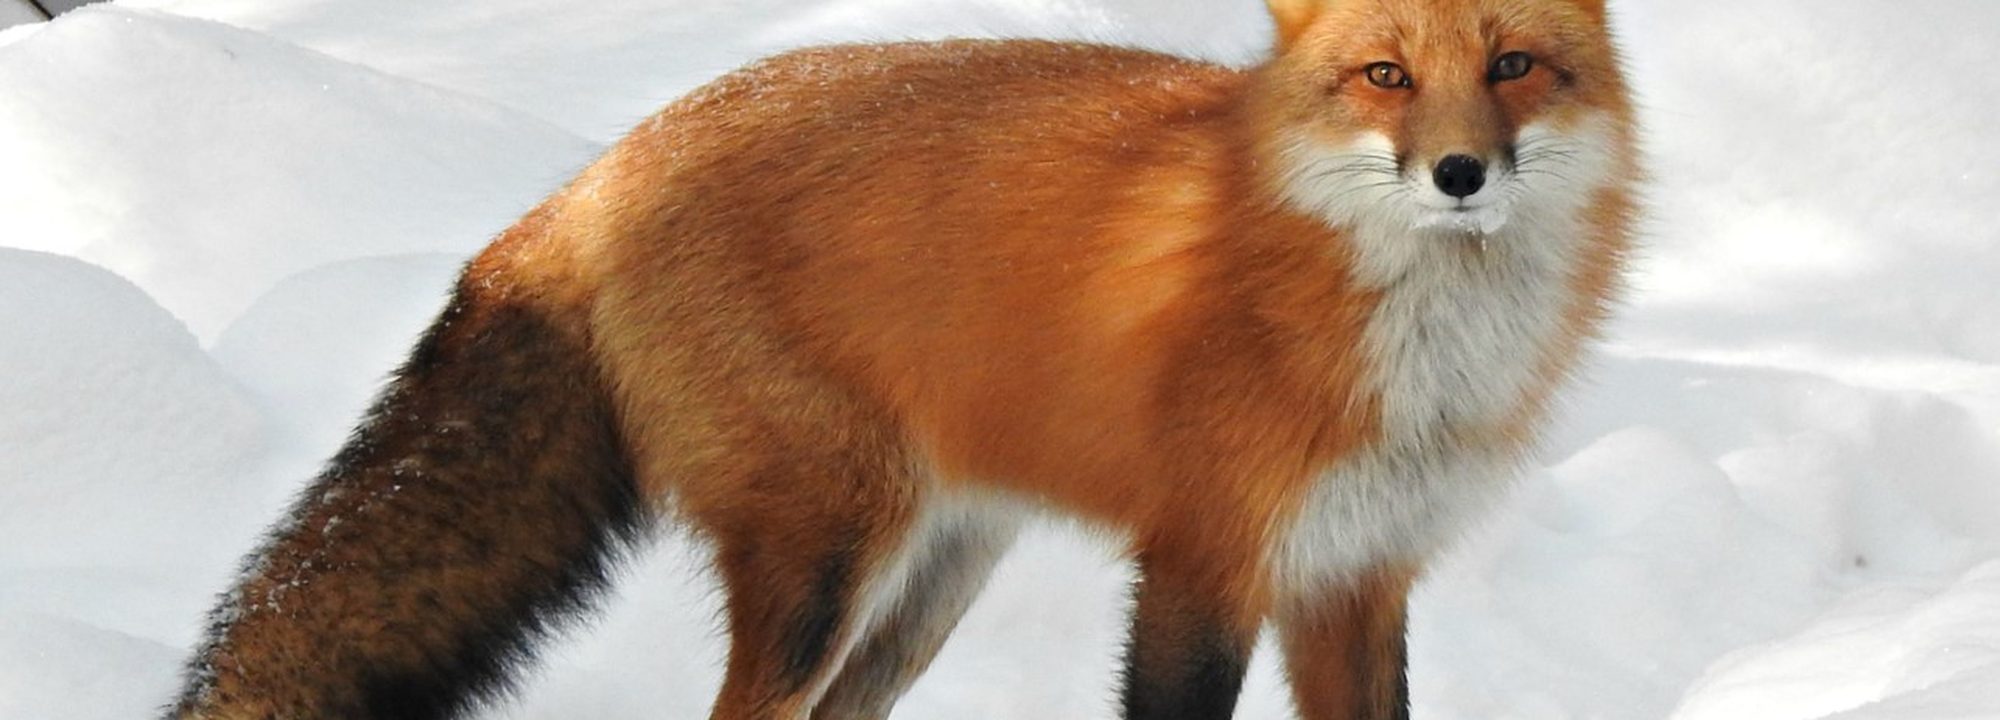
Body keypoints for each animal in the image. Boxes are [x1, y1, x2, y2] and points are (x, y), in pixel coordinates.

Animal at [168, 0, 1637, 718]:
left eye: (1515, 67)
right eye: (1385, 77)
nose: (1458, 176)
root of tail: (595, 175)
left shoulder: (1355, 579)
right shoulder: (1201, 564)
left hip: (927, 587)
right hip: (828, 567)